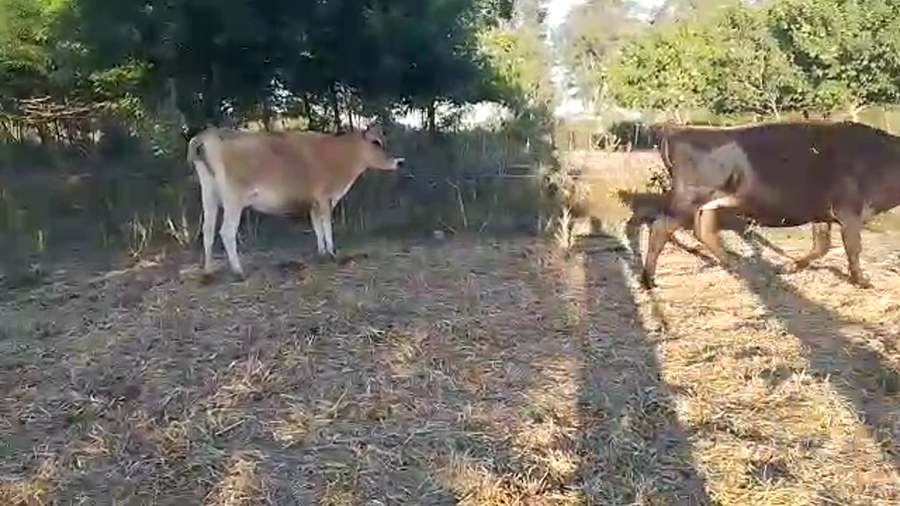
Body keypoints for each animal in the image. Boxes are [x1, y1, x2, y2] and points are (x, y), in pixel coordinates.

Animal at [186, 123, 405, 280]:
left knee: (207, 230)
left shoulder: (314, 203)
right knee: (226, 232)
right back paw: (238, 272)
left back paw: (208, 271)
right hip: (234, 198)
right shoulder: (325, 197)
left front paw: (322, 253)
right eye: (376, 142)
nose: (398, 162)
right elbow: (327, 226)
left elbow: (317, 227)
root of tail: (211, 134)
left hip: (209, 195)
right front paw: (332, 253)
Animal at [639, 120, 900, 290]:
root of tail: (677, 131)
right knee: (660, 228)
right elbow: (853, 249)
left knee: (704, 231)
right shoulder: (849, 212)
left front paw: (788, 267)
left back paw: (737, 266)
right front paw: (862, 281)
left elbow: (822, 246)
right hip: (689, 198)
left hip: (709, 202)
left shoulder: (822, 213)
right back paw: (649, 280)